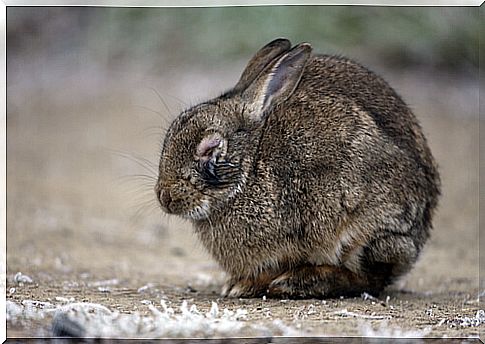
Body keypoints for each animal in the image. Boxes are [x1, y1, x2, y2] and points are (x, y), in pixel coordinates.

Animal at [154, 38, 438, 298]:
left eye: (210, 148)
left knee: (369, 279)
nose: (165, 197)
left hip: (366, 229)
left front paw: (242, 286)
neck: (250, 165)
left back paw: (299, 282)